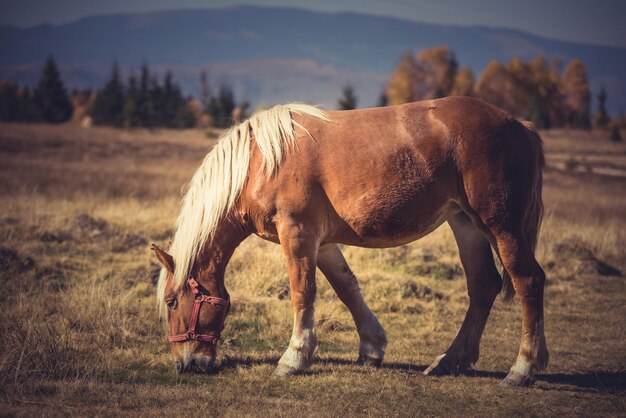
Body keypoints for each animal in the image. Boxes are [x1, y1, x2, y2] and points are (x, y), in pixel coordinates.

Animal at [152, 96, 544, 386]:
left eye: (172, 302)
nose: (184, 364)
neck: (259, 163)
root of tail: (520, 125)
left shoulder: (297, 233)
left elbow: (302, 293)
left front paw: (294, 358)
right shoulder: (322, 243)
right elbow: (347, 288)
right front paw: (372, 347)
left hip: (500, 224)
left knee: (528, 281)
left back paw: (522, 368)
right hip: (466, 224)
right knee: (483, 285)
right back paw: (450, 360)